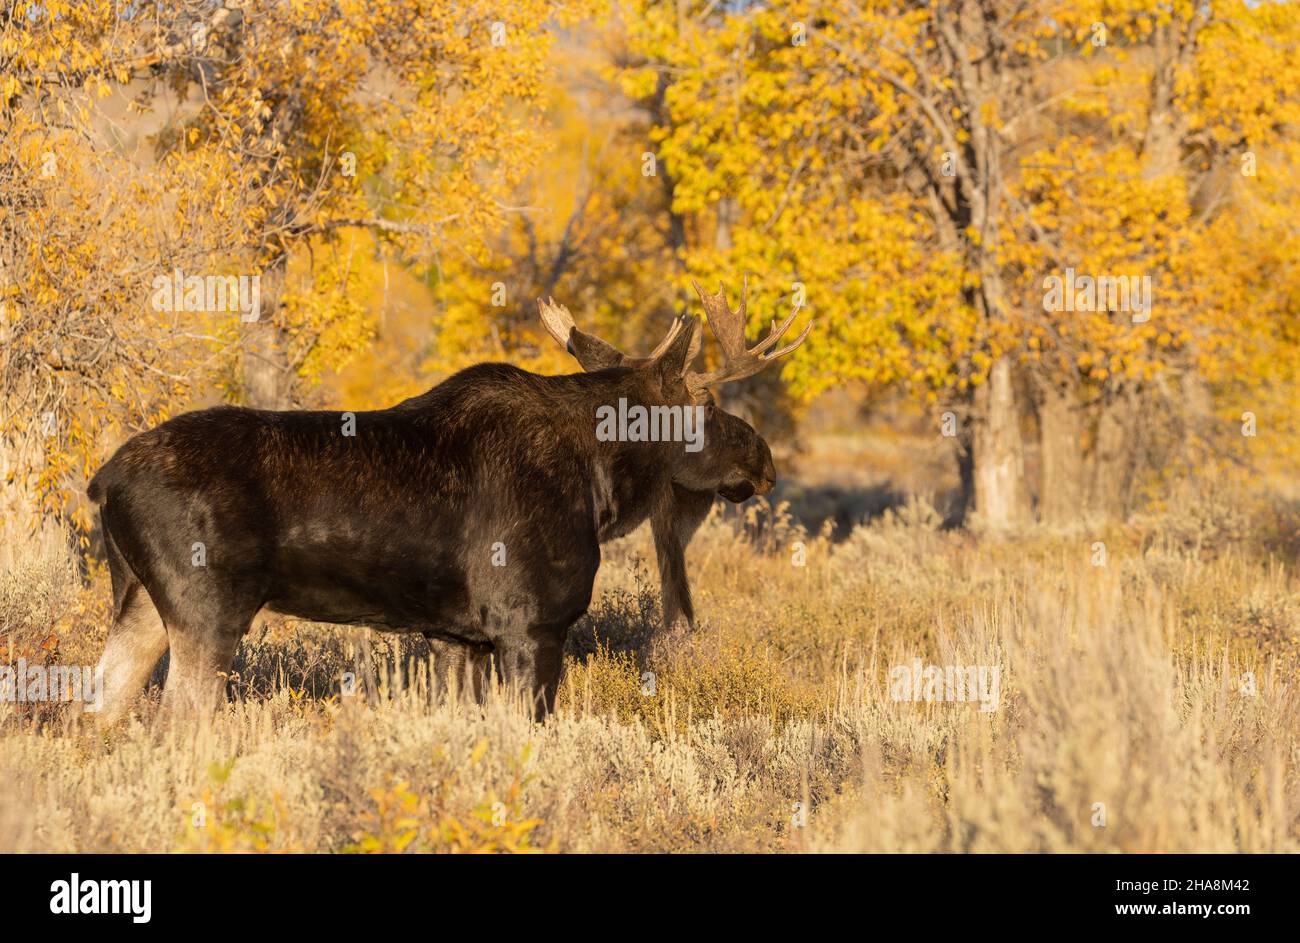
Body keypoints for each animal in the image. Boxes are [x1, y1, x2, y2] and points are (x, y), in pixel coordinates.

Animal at [87, 281, 810, 721]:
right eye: (706, 407)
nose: (764, 460)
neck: (602, 485)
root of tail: (104, 480)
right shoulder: (530, 622)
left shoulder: (455, 636)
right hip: (208, 610)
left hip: (142, 604)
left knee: (97, 709)